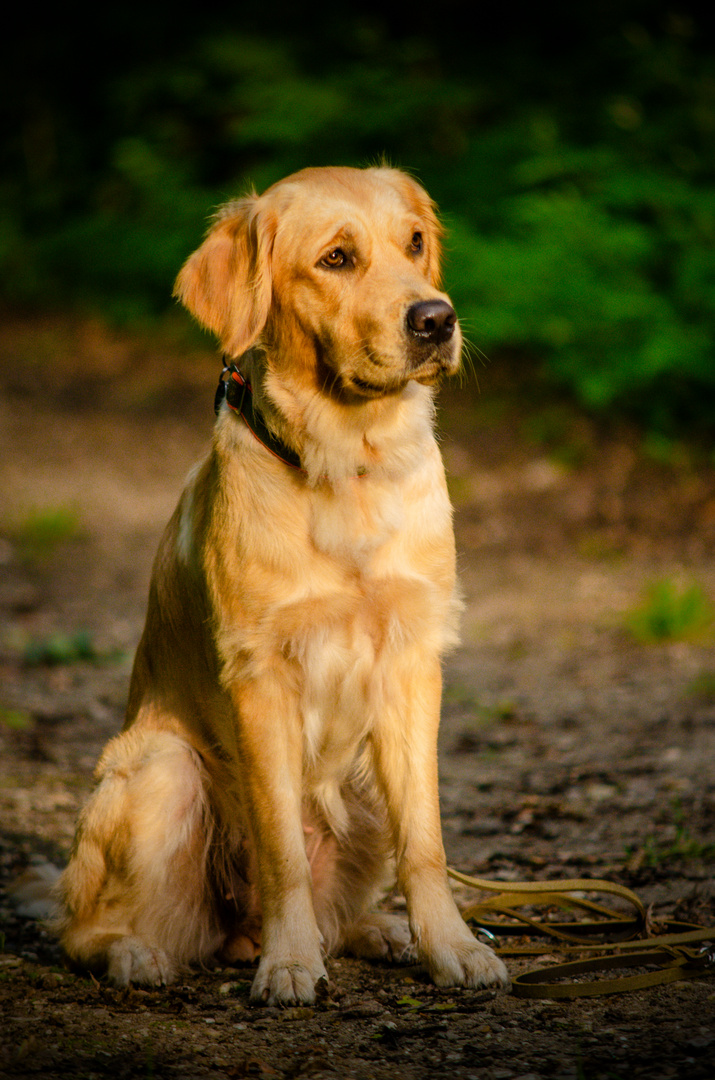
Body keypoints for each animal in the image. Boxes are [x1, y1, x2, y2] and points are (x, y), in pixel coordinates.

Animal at [54, 166, 509, 1002]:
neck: (346, 464)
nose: (436, 319)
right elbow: (281, 853)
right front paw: (290, 962)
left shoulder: (411, 662)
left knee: (350, 900)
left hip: (360, 784)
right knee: (83, 927)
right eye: (336, 259)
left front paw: (452, 947)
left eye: (414, 243)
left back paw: (380, 931)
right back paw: (139, 954)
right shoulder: (261, 674)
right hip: (161, 769)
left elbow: (425, 843)